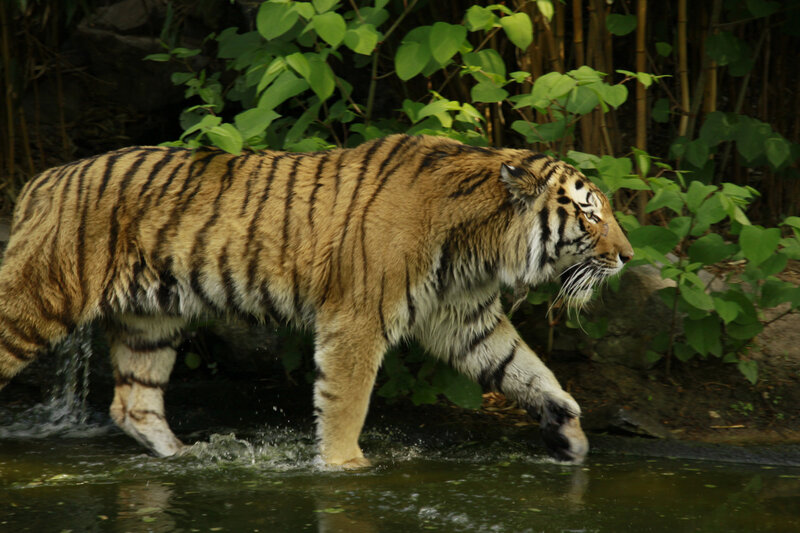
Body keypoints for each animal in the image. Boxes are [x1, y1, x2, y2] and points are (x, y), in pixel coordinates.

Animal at [0, 134, 632, 467]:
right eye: (589, 214)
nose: (627, 255)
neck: (480, 244)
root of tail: (40, 180)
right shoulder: (358, 319)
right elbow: (346, 399)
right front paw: (345, 466)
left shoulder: (463, 316)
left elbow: (525, 368)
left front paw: (568, 428)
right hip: (41, 298)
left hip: (151, 318)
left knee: (133, 402)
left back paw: (189, 455)